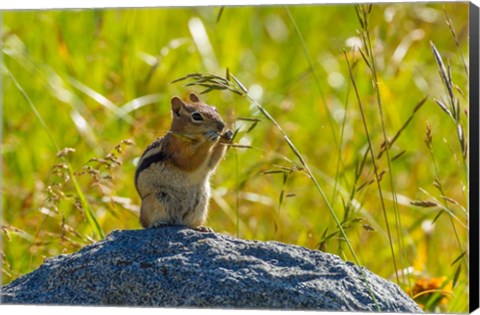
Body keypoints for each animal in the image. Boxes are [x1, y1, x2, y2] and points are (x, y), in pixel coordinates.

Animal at [135, 92, 232, 231]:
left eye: (215, 109)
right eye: (196, 116)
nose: (221, 126)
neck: (194, 139)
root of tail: (178, 221)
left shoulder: (207, 164)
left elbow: (211, 162)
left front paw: (227, 136)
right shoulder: (177, 151)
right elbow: (190, 161)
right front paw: (210, 139)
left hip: (201, 204)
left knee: (189, 223)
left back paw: (200, 227)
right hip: (155, 200)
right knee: (145, 222)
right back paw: (157, 224)